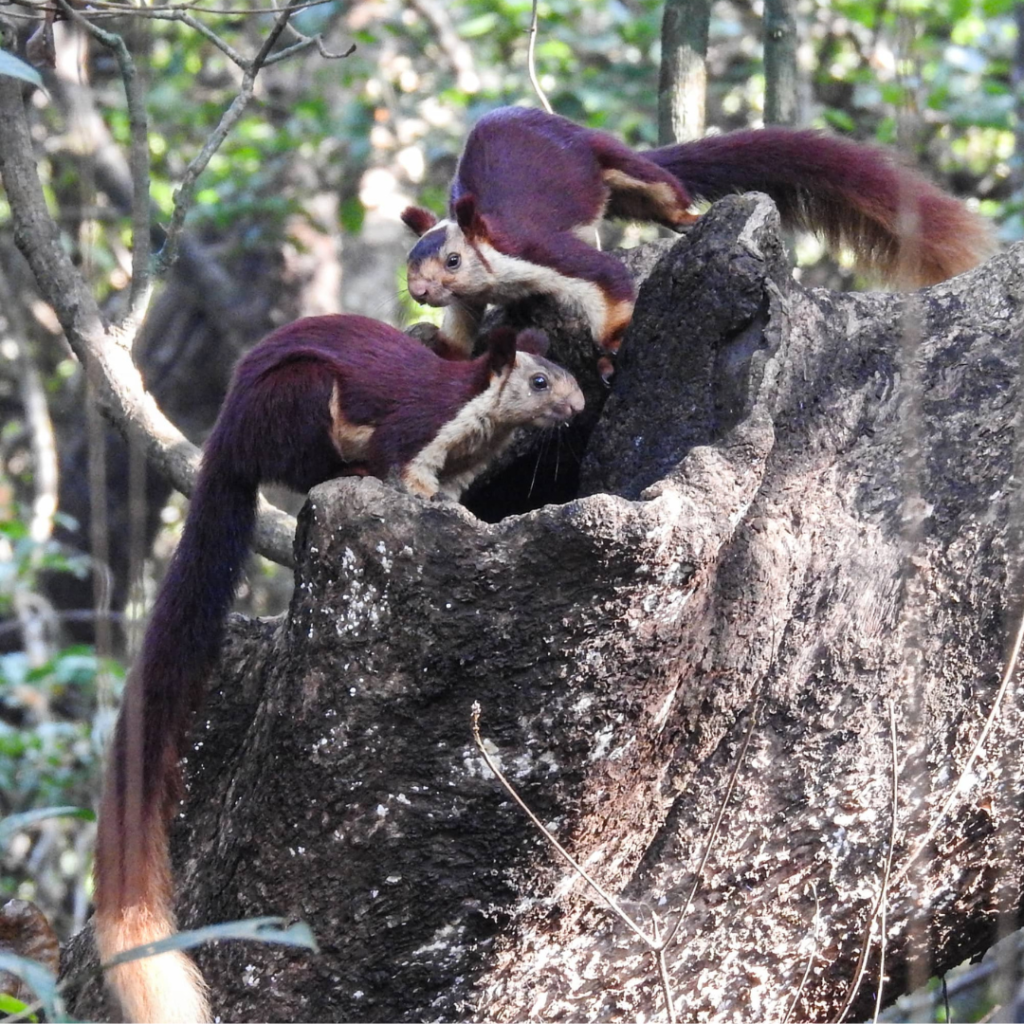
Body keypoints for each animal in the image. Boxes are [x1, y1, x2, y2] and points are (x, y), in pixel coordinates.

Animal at [92, 314, 583, 1024]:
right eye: (541, 381)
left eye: (566, 376)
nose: (577, 404)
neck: (477, 422)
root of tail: (224, 442)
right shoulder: (417, 427)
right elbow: (408, 470)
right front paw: (429, 501)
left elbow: (455, 490)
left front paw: (459, 506)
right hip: (300, 399)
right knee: (311, 466)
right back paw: (345, 465)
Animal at [402, 105, 995, 358]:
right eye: (411, 264)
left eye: (452, 260)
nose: (419, 291)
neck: (494, 273)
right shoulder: (470, 296)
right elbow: (461, 327)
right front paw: (442, 344)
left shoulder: (533, 248)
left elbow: (606, 278)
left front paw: (614, 343)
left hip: (617, 165)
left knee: (662, 188)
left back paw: (688, 217)